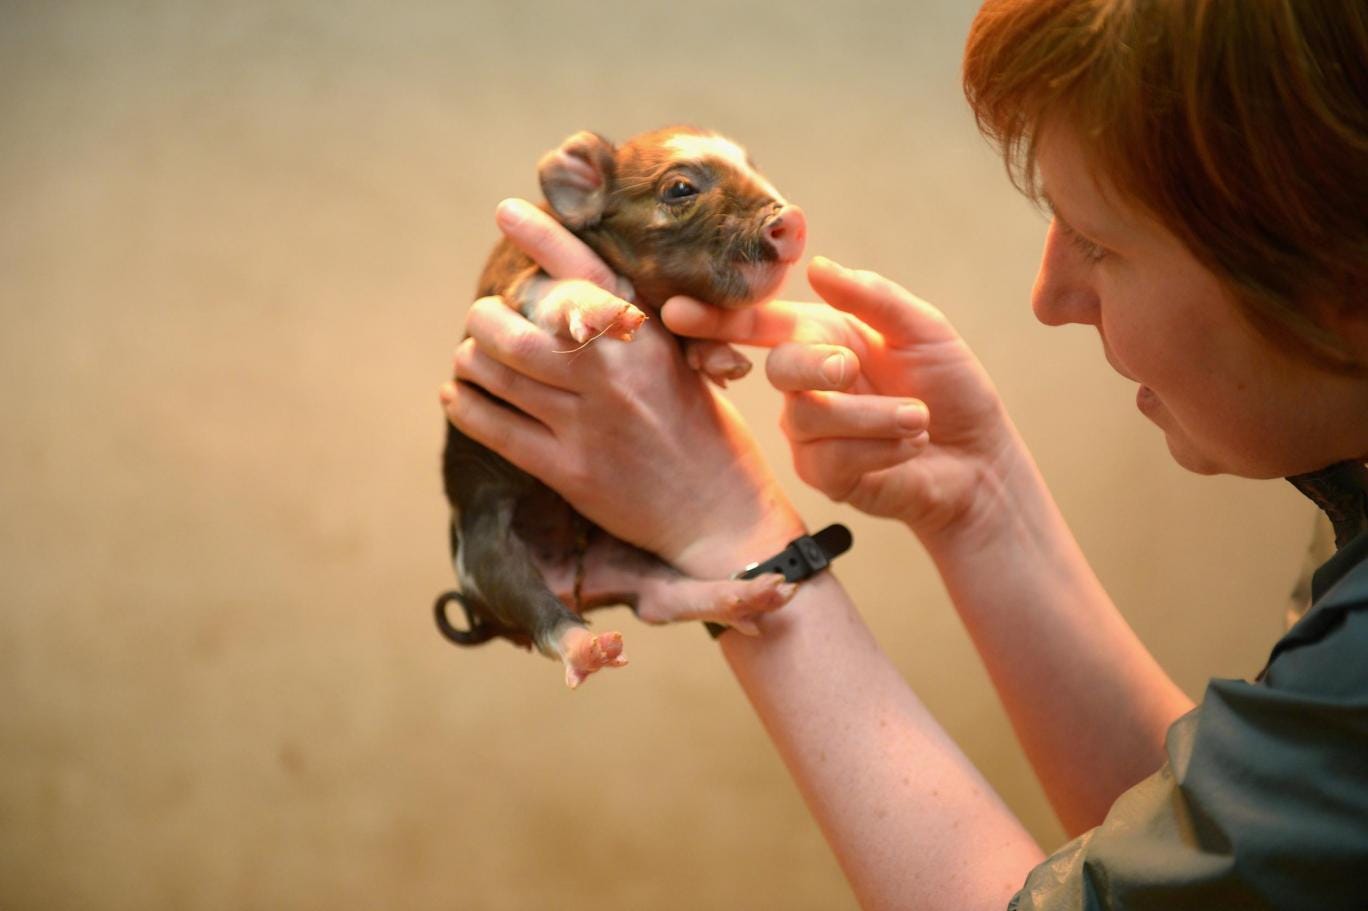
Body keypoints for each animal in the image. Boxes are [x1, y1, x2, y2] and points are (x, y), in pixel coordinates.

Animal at [436, 126, 807, 688]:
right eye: (679, 188)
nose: (794, 218)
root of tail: (576, 583)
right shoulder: (514, 285)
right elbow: (555, 290)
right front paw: (612, 314)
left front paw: (726, 362)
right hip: (487, 555)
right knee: (544, 616)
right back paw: (592, 647)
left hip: (635, 563)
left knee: (664, 598)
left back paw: (752, 595)